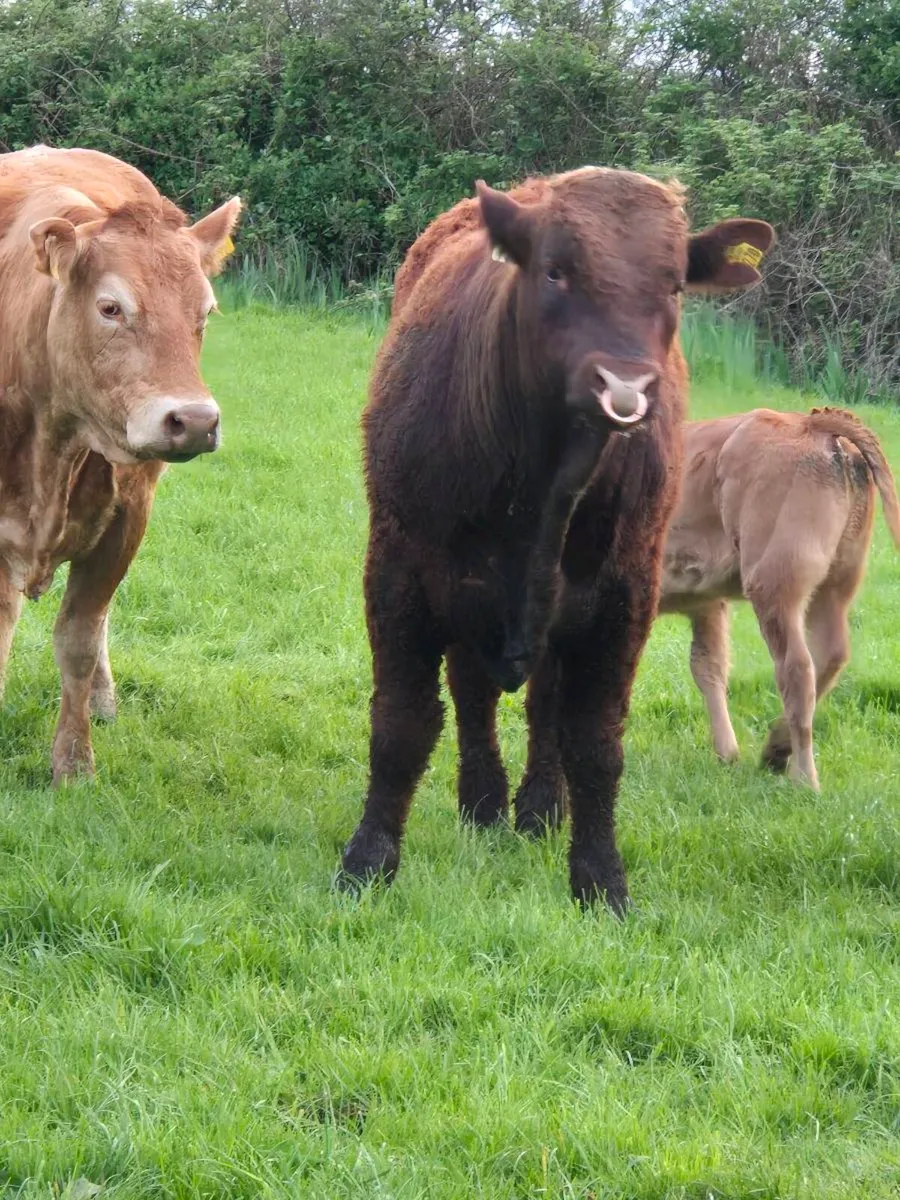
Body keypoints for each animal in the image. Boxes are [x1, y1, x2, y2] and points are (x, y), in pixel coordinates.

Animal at [0, 145, 241, 783]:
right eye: (110, 307)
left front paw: (74, 762)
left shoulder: (126, 520)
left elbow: (80, 637)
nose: (195, 420)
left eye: (206, 310)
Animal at [340, 166, 774, 912]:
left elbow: (595, 742)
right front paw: (368, 862)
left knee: (544, 704)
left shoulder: (623, 597)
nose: (625, 384)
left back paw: (540, 807)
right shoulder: (401, 572)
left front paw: (600, 879)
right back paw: (484, 800)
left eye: (674, 285)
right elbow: (401, 725)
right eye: (555, 270)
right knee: (473, 693)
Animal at [658, 406, 900, 790]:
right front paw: (728, 755)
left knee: (796, 667)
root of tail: (811, 423)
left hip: (773, 588)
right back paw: (774, 750)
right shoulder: (707, 605)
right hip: (834, 586)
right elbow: (708, 666)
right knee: (830, 656)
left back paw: (804, 779)